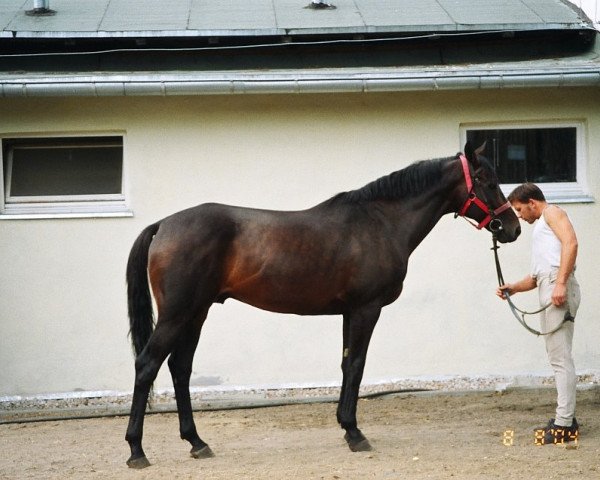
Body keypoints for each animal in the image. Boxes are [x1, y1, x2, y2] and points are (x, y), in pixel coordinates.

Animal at [125, 141, 520, 466]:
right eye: (486, 179)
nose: (511, 228)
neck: (380, 222)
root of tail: (163, 225)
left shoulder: (349, 312)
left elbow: (346, 365)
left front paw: (347, 428)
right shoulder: (366, 309)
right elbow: (357, 366)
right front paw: (356, 434)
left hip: (197, 313)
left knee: (180, 368)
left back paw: (197, 442)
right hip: (177, 315)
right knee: (147, 365)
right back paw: (137, 451)